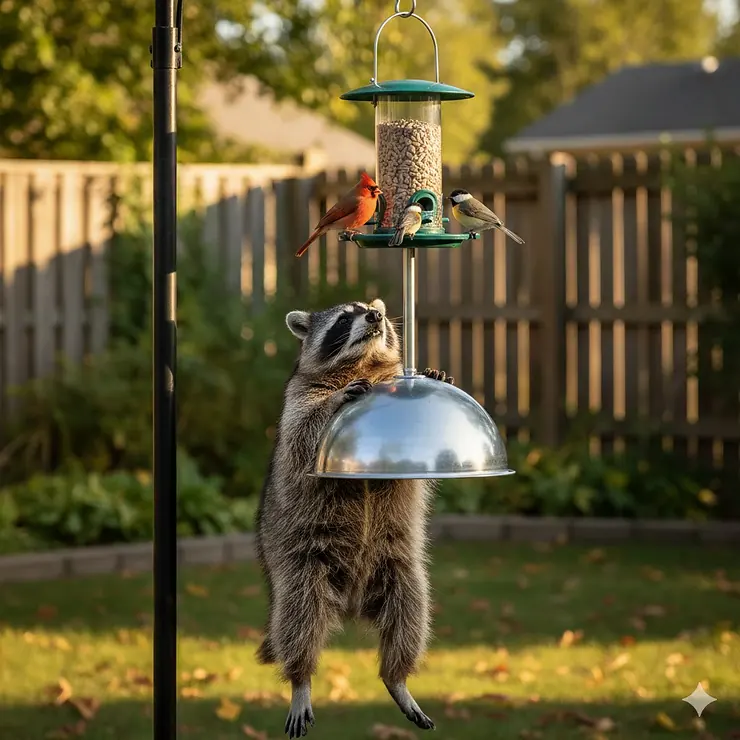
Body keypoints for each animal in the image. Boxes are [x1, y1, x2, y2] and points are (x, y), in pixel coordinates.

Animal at [255, 298, 454, 738]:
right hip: (301, 565)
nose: (376, 316)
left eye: (370, 308)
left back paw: (397, 677)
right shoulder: (297, 398)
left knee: (410, 612)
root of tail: (350, 602)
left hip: (395, 565)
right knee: (299, 617)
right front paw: (337, 401)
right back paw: (301, 679)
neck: (362, 365)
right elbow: (302, 434)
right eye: (345, 318)